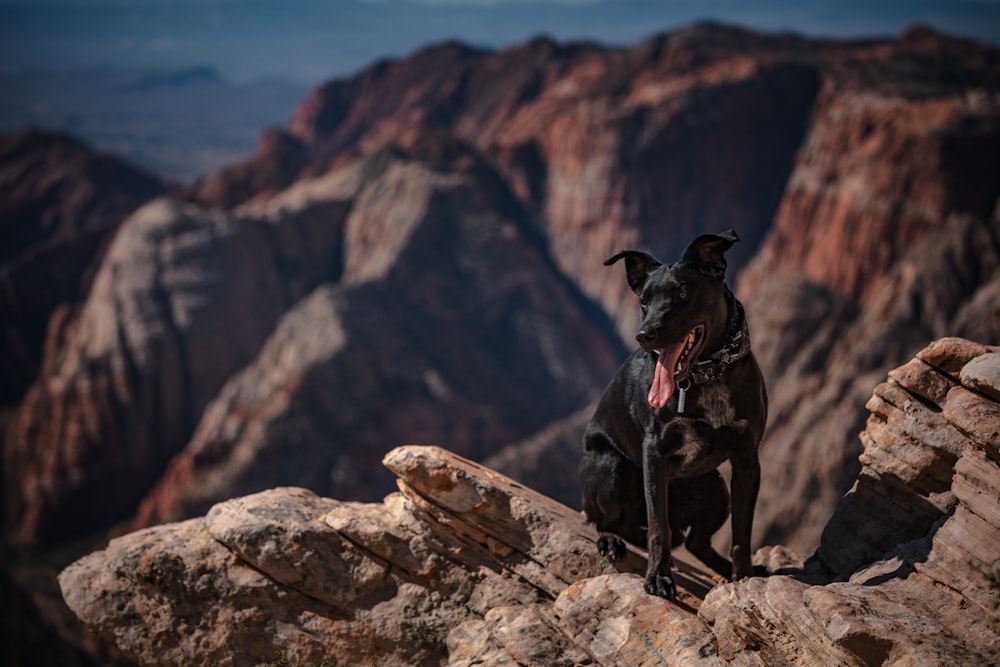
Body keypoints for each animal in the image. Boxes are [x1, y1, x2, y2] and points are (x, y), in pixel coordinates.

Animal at [580, 231, 764, 600]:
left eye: (682, 293)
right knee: (607, 520)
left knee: (695, 542)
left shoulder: (748, 462)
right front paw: (659, 577)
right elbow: (658, 527)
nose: (644, 335)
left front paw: (745, 578)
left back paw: (723, 568)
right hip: (611, 467)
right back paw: (611, 541)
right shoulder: (655, 454)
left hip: (715, 489)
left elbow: (742, 536)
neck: (708, 374)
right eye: (643, 301)